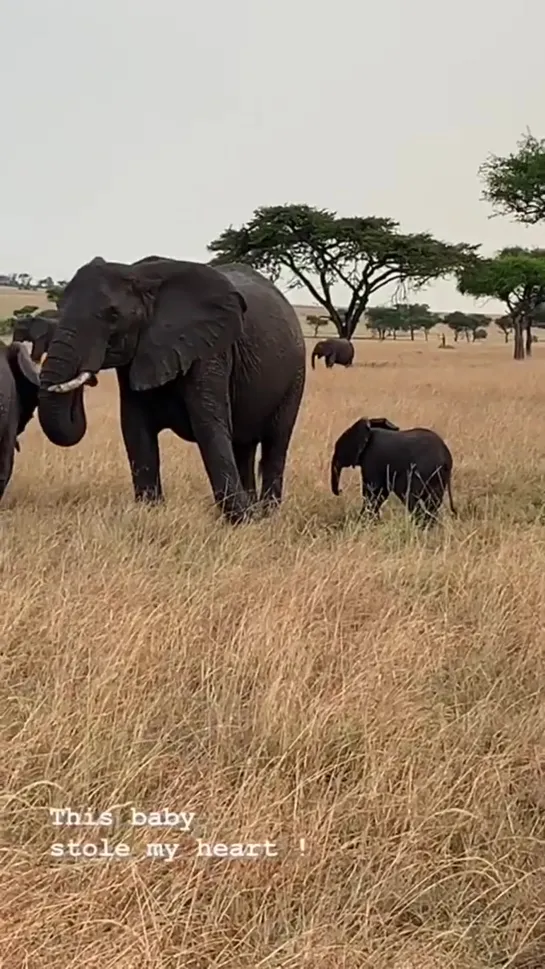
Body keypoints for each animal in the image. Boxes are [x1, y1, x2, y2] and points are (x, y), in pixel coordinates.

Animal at [37, 253, 306, 520]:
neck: (142, 278)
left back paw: (267, 514)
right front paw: (149, 511)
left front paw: (241, 520)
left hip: (295, 376)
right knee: (243, 446)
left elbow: (209, 426)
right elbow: (135, 427)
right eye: (59, 308)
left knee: (275, 443)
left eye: (113, 315)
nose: (88, 378)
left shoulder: (209, 349)